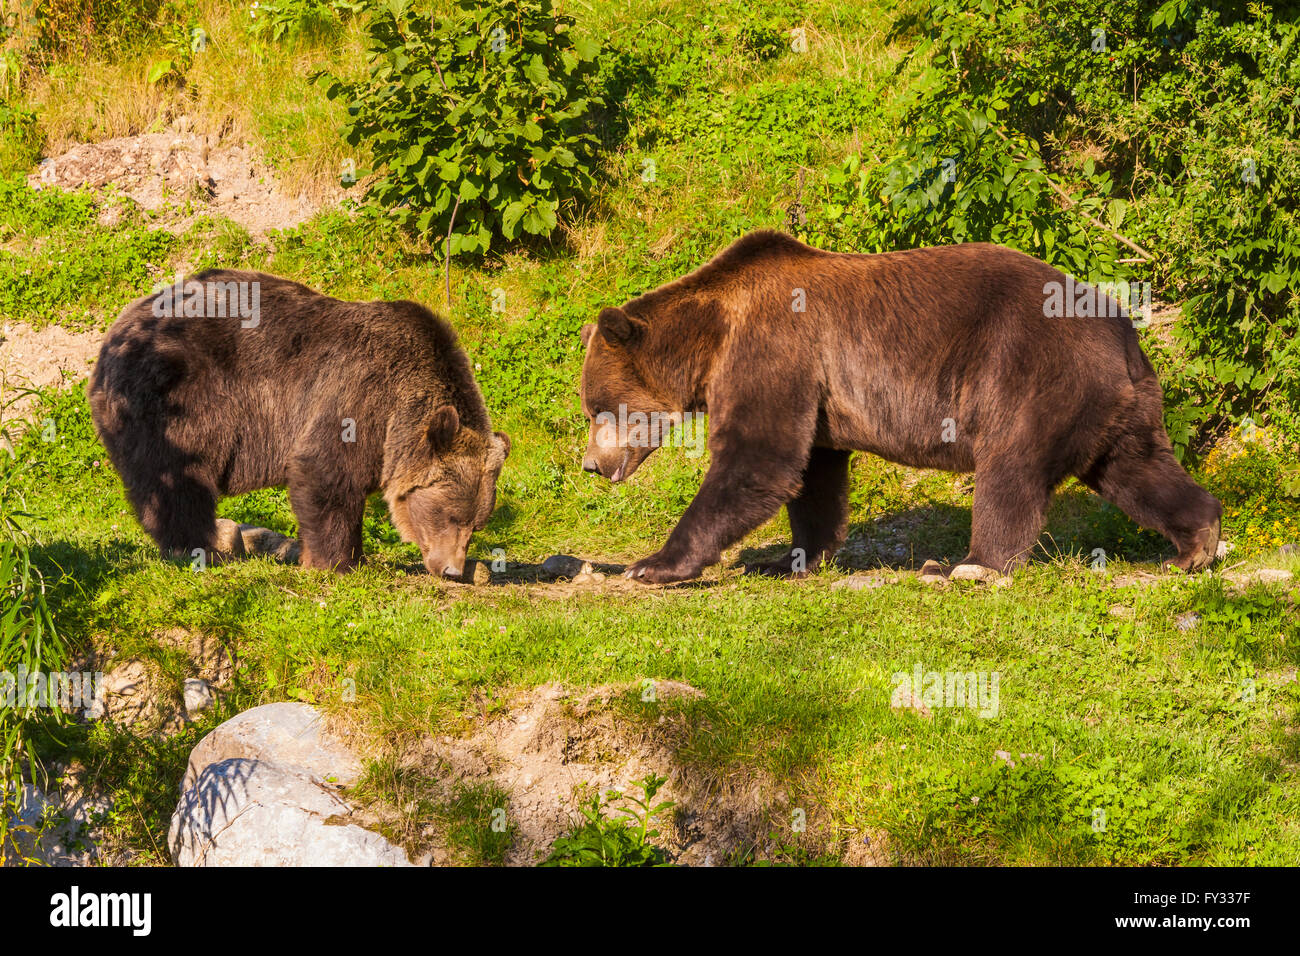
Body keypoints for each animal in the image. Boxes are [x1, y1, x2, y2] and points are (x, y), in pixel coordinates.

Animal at [87, 273, 506, 580]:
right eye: (451, 515)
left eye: (477, 524)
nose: (452, 570)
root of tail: (116, 329)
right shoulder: (358, 394)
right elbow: (326, 472)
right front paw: (334, 563)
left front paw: (355, 557)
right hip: (175, 396)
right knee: (179, 478)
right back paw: (198, 550)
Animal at [585, 234, 1222, 590]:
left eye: (596, 408)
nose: (590, 465)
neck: (710, 337)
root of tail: (1124, 332)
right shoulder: (816, 391)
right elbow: (813, 476)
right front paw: (790, 559)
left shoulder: (773, 348)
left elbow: (756, 459)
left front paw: (654, 564)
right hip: (1114, 404)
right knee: (1136, 467)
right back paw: (1195, 544)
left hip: (1031, 372)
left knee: (1010, 468)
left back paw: (968, 565)